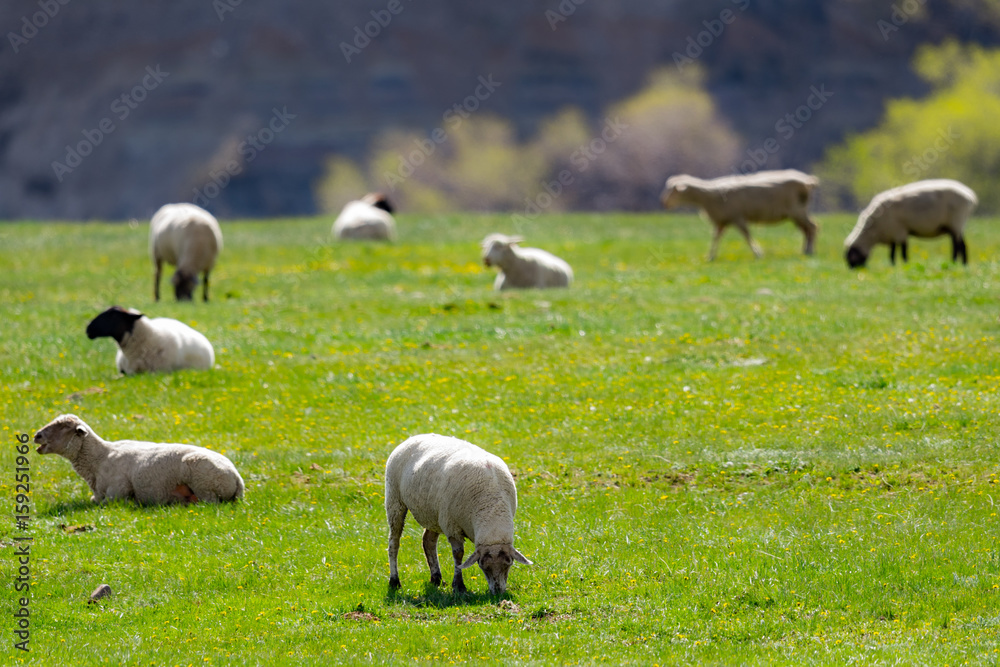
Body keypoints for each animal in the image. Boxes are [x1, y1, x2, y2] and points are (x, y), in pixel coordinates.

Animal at [33, 414, 244, 505]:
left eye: (63, 426)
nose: (36, 436)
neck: (99, 458)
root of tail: (237, 478)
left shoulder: (118, 490)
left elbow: (105, 502)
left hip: (204, 483)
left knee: (210, 502)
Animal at [385, 434, 532, 596]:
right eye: (482, 566)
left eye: (509, 564)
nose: (498, 592)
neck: (491, 508)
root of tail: (414, 437)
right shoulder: (451, 526)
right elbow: (458, 554)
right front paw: (459, 586)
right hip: (394, 499)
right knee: (394, 542)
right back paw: (394, 581)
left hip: (434, 514)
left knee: (428, 541)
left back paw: (436, 578)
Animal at [660, 170, 820, 260]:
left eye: (673, 191)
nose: (664, 203)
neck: (708, 195)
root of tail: (809, 180)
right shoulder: (721, 220)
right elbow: (715, 238)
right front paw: (710, 256)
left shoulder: (737, 217)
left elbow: (747, 236)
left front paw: (758, 254)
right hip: (796, 213)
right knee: (806, 230)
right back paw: (804, 250)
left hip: (798, 210)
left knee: (812, 227)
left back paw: (810, 251)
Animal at [844, 179, 978, 268]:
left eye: (851, 259)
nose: (853, 270)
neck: (872, 232)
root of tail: (970, 196)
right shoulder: (892, 233)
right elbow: (892, 251)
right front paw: (893, 265)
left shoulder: (899, 230)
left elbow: (902, 251)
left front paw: (904, 264)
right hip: (957, 225)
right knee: (961, 245)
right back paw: (962, 263)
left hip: (956, 221)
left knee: (958, 245)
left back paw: (955, 262)